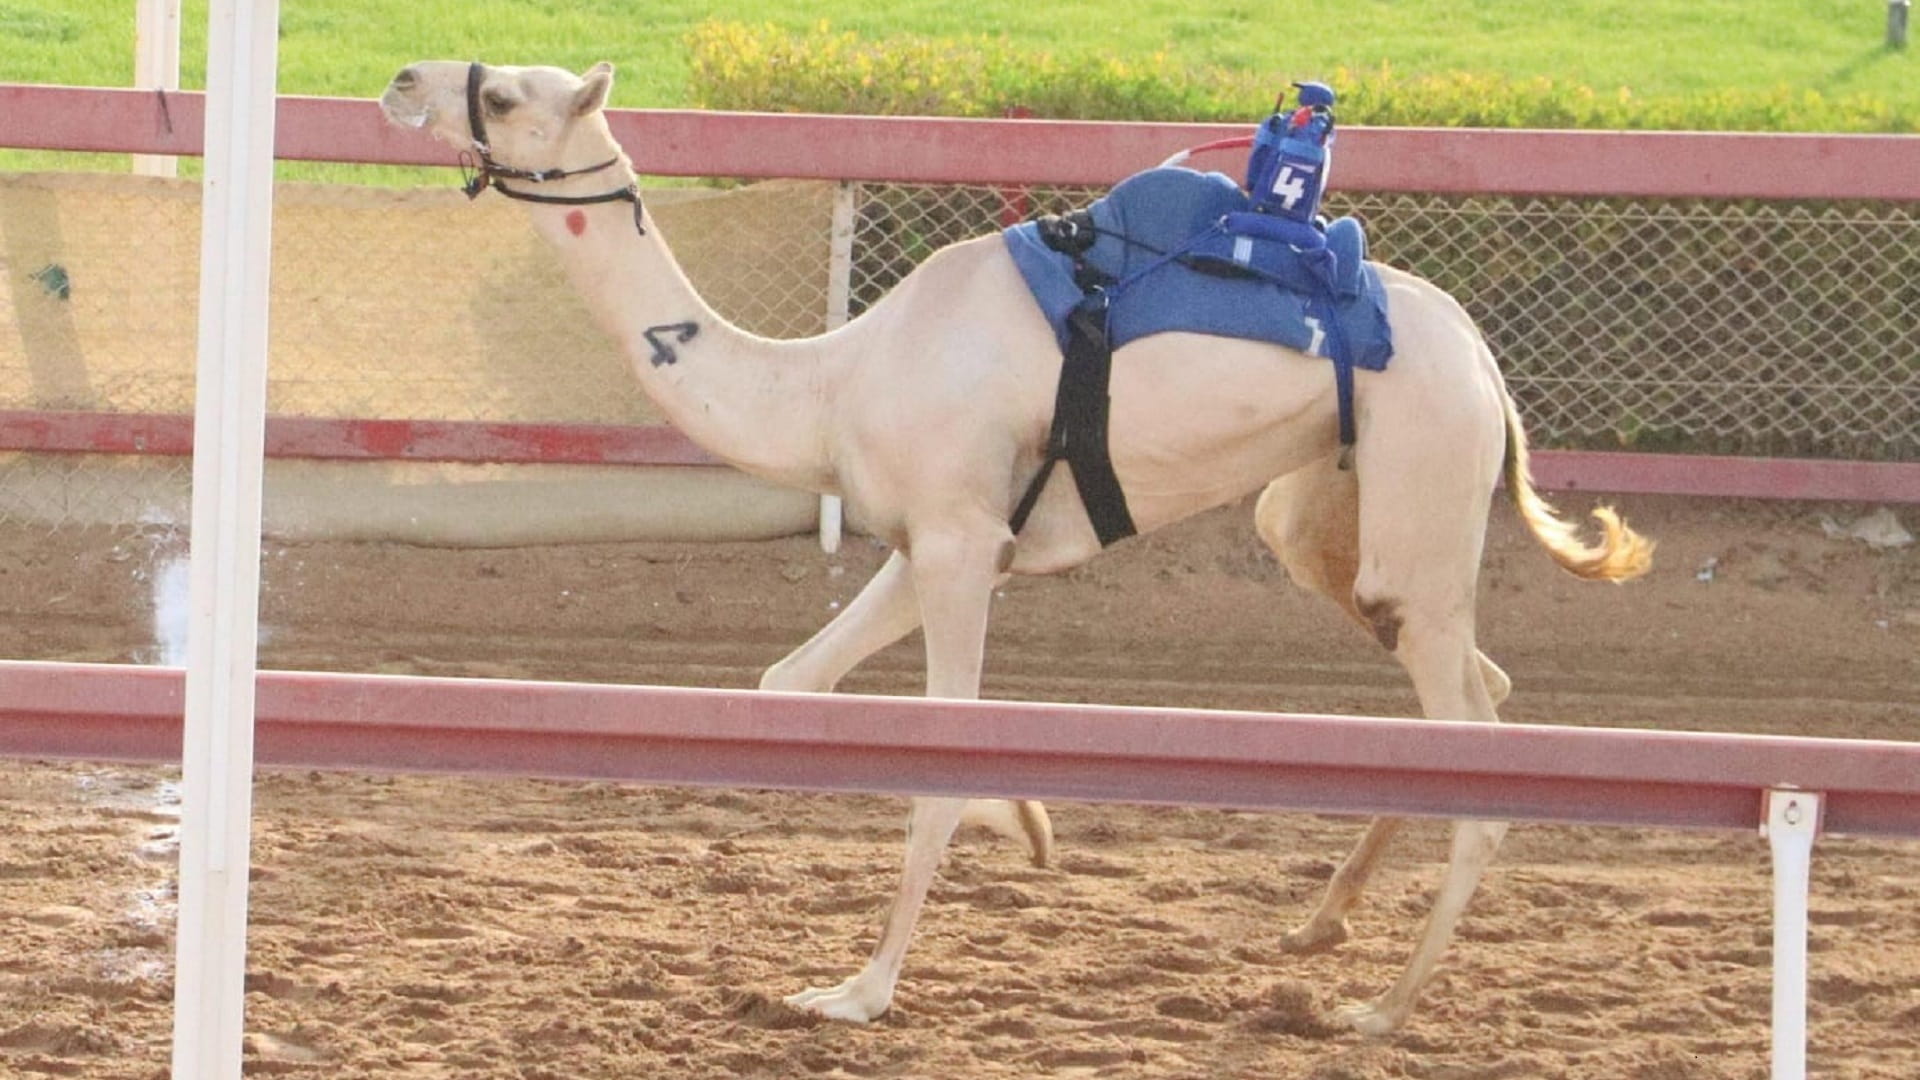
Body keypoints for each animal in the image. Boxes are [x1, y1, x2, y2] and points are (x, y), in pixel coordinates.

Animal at [382, 61, 1658, 1037]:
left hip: (1424, 471)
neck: (832, 383)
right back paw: (1319, 924)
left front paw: (859, 989)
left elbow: (938, 758)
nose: (400, 79)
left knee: (1480, 754)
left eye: (504, 94)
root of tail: (1486, 360)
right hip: (1323, 512)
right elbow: (792, 682)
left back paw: (1381, 1010)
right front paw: (1031, 823)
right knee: (1470, 694)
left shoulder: (957, 545)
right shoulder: (925, 545)